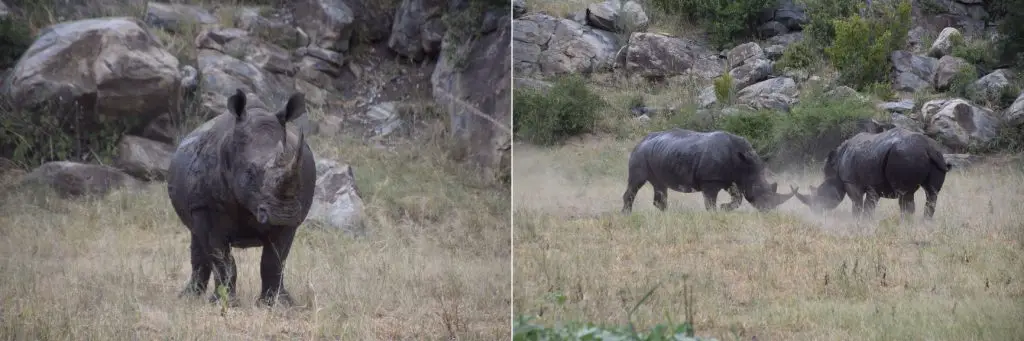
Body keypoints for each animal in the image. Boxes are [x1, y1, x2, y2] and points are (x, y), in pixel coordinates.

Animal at [165, 87, 317, 305]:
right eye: (249, 173)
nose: (282, 214)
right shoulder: (205, 208)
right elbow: (223, 259)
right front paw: (224, 303)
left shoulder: (293, 218)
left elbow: (274, 261)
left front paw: (278, 304)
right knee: (197, 237)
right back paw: (189, 297)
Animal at [618, 129, 794, 214]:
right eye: (758, 189)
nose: (768, 209)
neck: (744, 163)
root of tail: (640, 141)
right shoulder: (710, 180)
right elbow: (710, 202)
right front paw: (714, 214)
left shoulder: (728, 179)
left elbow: (737, 197)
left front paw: (724, 208)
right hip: (640, 155)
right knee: (636, 182)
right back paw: (626, 214)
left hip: (659, 153)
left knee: (660, 185)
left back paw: (666, 215)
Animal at [790, 125, 950, 219]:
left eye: (820, 196)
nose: (815, 213)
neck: (834, 174)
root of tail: (927, 147)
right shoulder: (874, 186)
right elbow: (869, 206)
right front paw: (868, 222)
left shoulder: (851, 182)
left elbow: (857, 204)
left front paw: (856, 222)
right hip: (936, 154)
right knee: (932, 193)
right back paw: (924, 222)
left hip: (906, 155)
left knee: (905, 194)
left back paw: (905, 224)